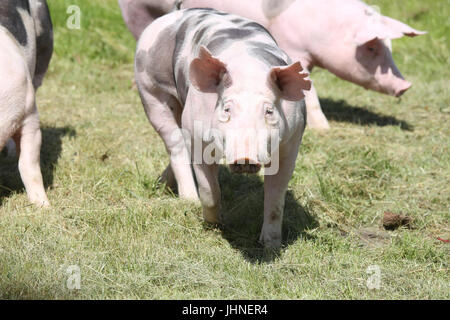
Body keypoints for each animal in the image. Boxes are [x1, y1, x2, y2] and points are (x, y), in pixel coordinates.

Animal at [118, 0, 426, 130]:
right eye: (372, 47)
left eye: (389, 47)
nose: (406, 85)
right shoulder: (293, 48)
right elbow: (310, 92)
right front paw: (324, 128)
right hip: (137, 14)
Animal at [135, 7, 312, 248]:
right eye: (227, 108)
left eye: (269, 111)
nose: (245, 158)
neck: (249, 71)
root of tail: (173, 14)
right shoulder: (198, 136)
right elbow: (209, 190)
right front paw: (213, 225)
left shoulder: (291, 142)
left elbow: (276, 199)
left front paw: (270, 245)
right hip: (150, 89)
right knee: (175, 143)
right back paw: (188, 199)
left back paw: (161, 184)